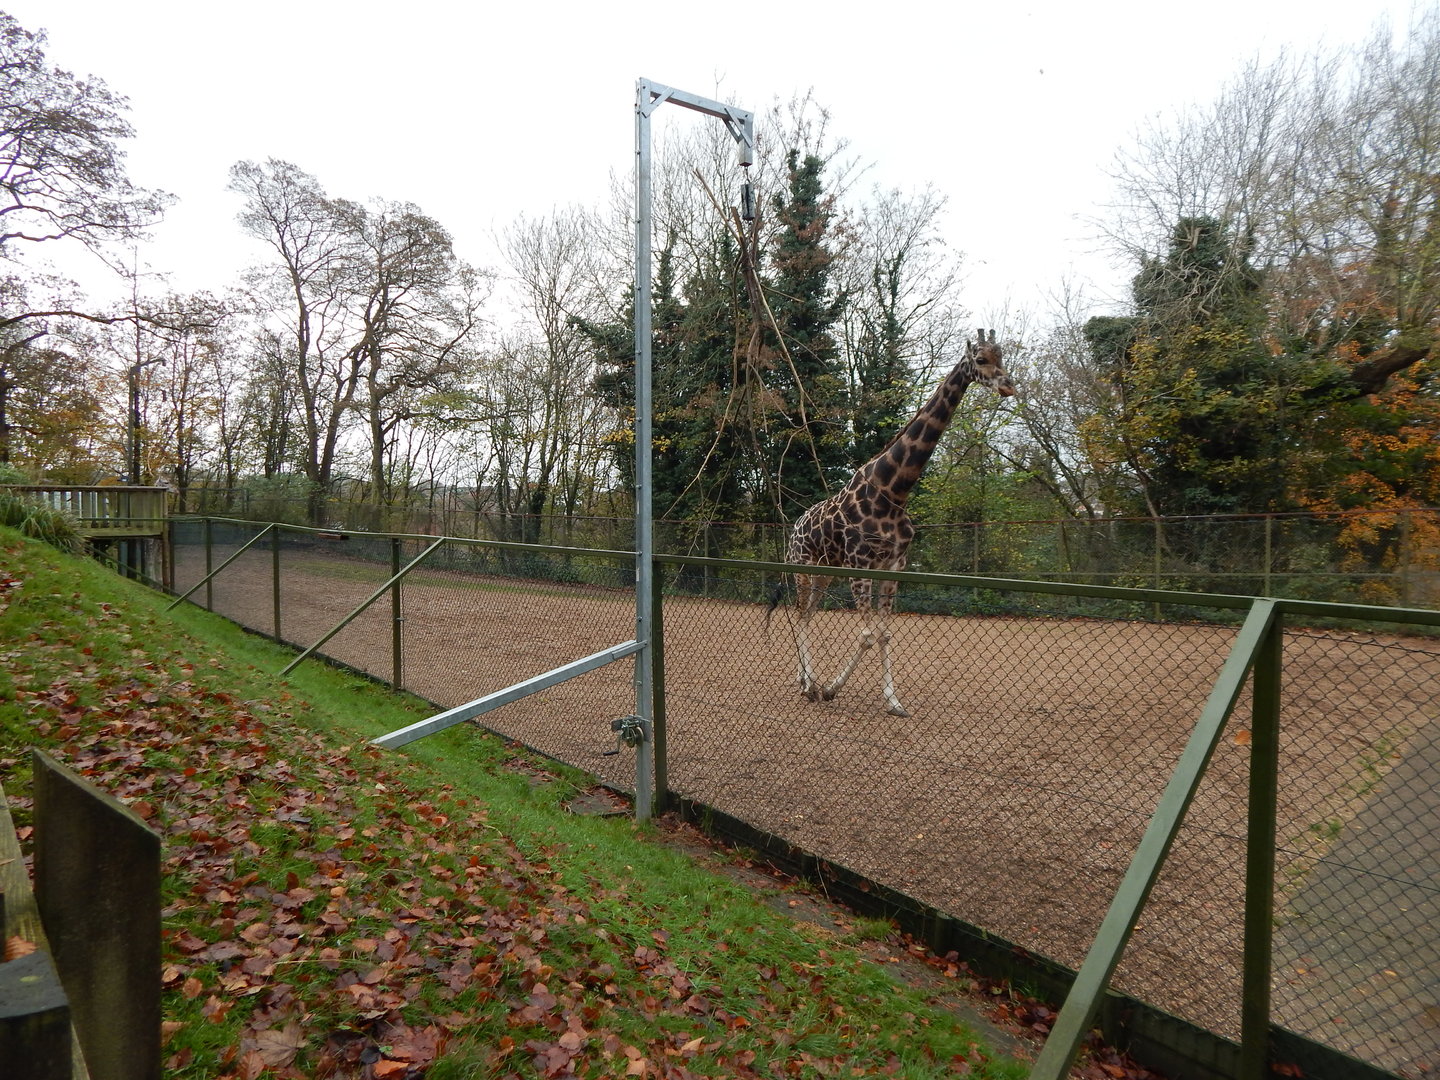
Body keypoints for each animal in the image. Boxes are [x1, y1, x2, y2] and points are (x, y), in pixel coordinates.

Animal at [774, 329, 1015, 717]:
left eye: (1002, 356)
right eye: (980, 359)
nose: (1008, 385)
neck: (894, 490)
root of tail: (794, 526)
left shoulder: (894, 565)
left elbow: (885, 633)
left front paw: (893, 700)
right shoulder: (860, 565)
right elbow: (867, 635)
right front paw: (830, 689)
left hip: (825, 572)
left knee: (806, 615)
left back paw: (804, 682)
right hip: (802, 566)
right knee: (798, 614)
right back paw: (810, 685)